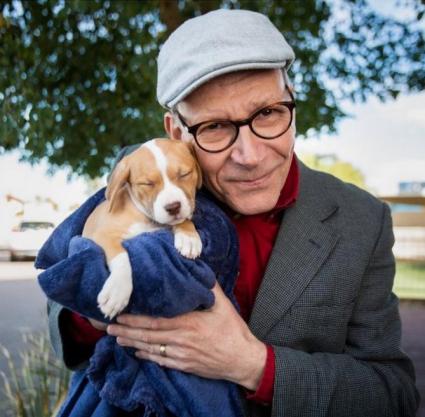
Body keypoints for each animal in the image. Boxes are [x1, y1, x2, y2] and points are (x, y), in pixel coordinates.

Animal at [83, 138, 203, 316]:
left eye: (184, 174)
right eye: (147, 184)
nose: (173, 207)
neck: (146, 217)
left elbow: (183, 219)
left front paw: (189, 238)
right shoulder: (103, 235)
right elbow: (121, 255)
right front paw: (117, 291)